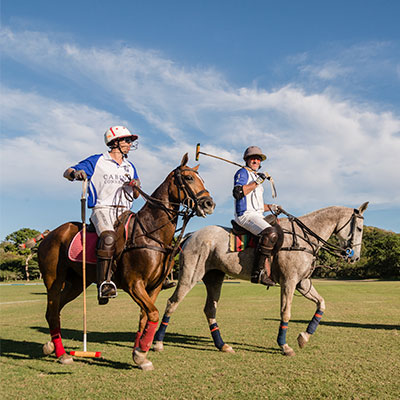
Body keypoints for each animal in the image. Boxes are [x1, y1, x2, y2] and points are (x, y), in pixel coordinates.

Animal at [38, 153, 215, 370]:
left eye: (202, 179)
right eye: (189, 178)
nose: (209, 204)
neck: (151, 232)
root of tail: (47, 235)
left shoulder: (154, 287)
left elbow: (145, 317)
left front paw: (140, 354)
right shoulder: (134, 284)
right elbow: (153, 314)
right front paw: (140, 353)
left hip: (77, 283)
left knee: (55, 310)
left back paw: (51, 346)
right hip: (53, 280)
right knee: (52, 311)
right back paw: (62, 354)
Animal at [153, 202, 369, 357]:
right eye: (359, 228)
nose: (355, 258)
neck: (303, 239)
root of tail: (190, 235)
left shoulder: (303, 283)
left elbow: (322, 304)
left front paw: (304, 337)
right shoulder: (289, 281)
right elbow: (285, 312)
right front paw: (284, 345)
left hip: (214, 278)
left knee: (209, 309)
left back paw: (222, 345)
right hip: (190, 275)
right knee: (172, 302)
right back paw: (157, 343)